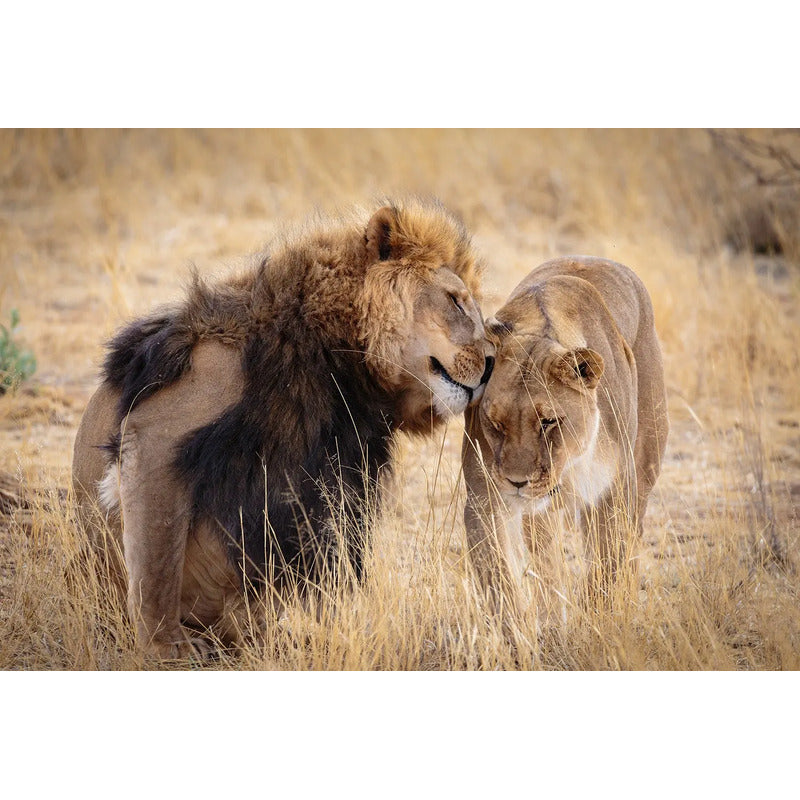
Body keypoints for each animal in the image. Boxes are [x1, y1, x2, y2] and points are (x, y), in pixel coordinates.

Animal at [72, 199, 494, 658]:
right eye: (455, 301)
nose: (493, 362)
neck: (338, 358)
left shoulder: (343, 471)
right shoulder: (158, 428)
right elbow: (156, 565)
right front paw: (164, 647)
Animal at [461, 256, 668, 626]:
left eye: (548, 422)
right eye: (495, 423)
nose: (517, 482)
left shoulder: (615, 491)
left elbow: (605, 567)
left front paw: (597, 624)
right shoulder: (484, 499)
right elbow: (501, 580)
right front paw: (520, 634)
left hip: (646, 464)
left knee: (632, 538)